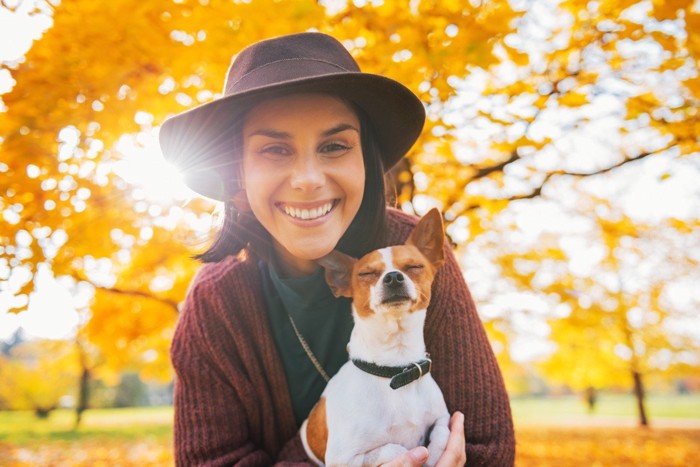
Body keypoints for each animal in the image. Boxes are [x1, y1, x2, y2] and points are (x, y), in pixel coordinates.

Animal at [302, 209, 454, 467]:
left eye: (414, 266)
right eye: (367, 273)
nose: (393, 277)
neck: (396, 369)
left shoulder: (442, 418)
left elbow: (442, 433)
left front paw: (433, 455)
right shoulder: (344, 459)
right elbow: (394, 448)